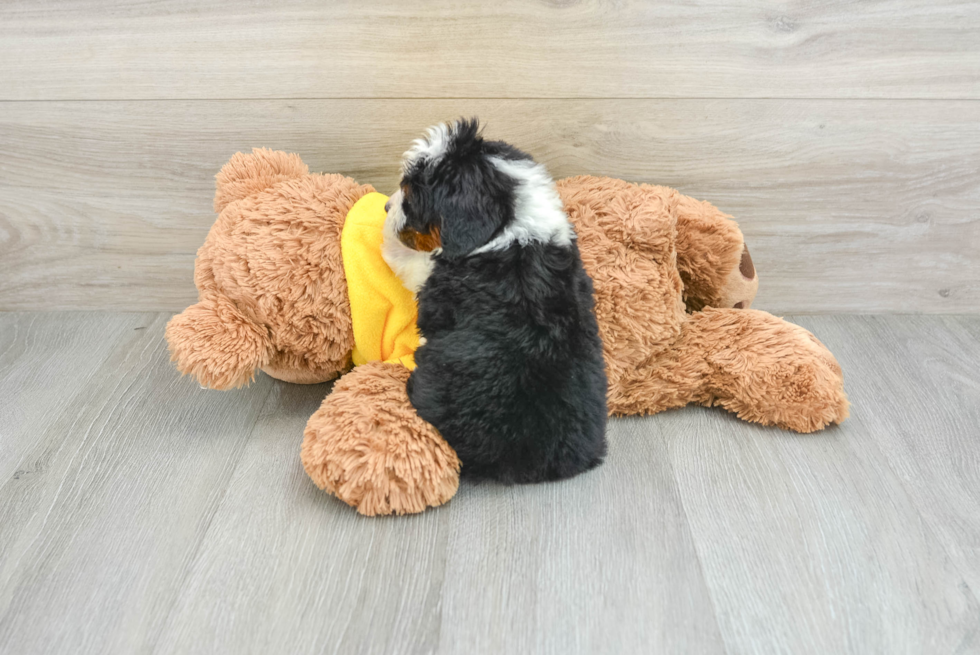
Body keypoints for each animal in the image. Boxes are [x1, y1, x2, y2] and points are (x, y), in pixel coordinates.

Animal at [380, 120, 604, 484]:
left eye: (411, 192)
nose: (387, 206)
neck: (509, 228)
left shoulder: (434, 282)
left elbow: (412, 262)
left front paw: (387, 233)